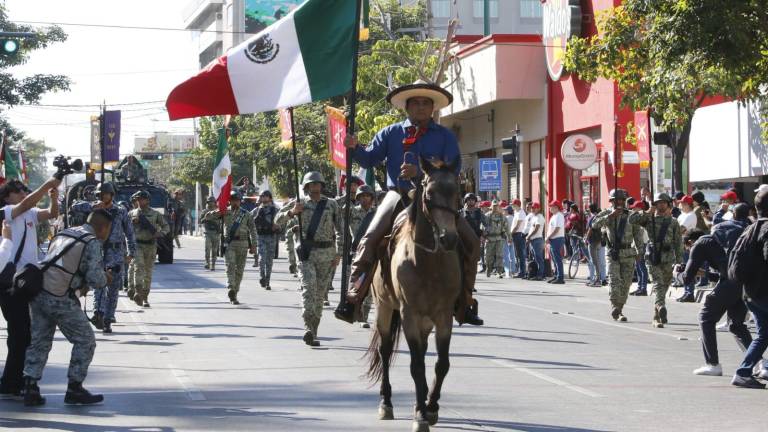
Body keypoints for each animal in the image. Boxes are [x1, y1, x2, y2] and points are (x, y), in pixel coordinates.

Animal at [366, 158, 462, 432]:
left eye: (457, 192)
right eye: (429, 194)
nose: (449, 238)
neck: (429, 262)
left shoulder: (443, 316)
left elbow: (442, 363)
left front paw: (431, 407)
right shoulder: (408, 314)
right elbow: (417, 365)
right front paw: (420, 415)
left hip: (425, 321)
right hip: (385, 308)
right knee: (385, 350)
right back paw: (386, 402)